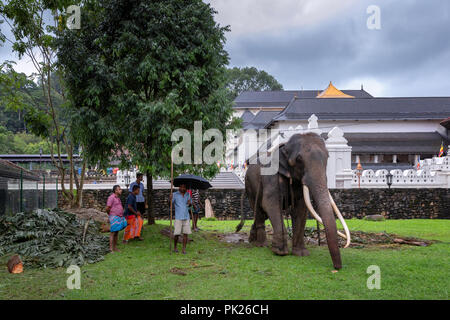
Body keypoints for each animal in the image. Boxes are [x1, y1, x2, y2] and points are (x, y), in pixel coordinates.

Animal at [237, 132, 350, 270]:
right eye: (299, 159)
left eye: (327, 157)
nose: (337, 268)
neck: (284, 147)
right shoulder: (270, 176)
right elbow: (270, 203)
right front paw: (279, 252)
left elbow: (301, 209)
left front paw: (301, 253)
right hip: (250, 185)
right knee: (259, 209)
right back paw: (260, 244)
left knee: (261, 214)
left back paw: (253, 239)